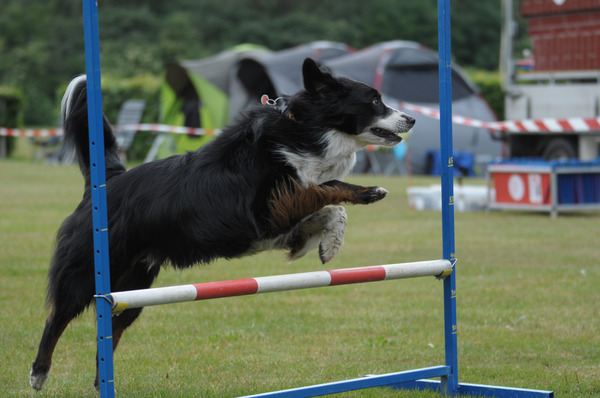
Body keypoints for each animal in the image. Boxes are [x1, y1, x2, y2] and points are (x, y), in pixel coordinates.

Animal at [28, 57, 412, 390]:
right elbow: (327, 187)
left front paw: (329, 243)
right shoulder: (269, 209)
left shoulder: (277, 220)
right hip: (90, 271)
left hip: (133, 288)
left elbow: (328, 207)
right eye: (374, 100)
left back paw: (100, 381)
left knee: (111, 328)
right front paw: (368, 192)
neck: (305, 130)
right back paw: (39, 372)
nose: (411, 119)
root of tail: (110, 181)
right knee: (57, 318)